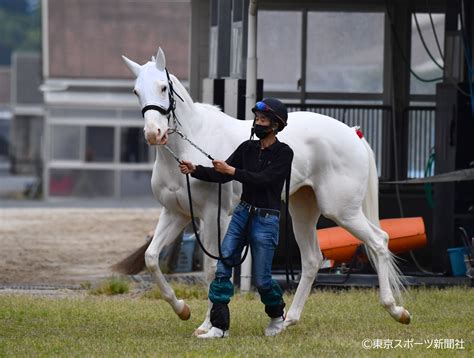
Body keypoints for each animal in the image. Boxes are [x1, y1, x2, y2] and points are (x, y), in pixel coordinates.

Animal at [120, 48, 410, 336]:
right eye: (135, 91)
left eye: (163, 86)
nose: (154, 133)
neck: (193, 143)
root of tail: (353, 134)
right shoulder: (175, 214)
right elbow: (151, 258)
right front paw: (182, 309)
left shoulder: (215, 216)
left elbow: (213, 268)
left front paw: (206, 325)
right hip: (302, 210)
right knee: (313, 259)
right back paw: (289, 319)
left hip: (342, 211)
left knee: (379, 241)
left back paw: (397, 311)